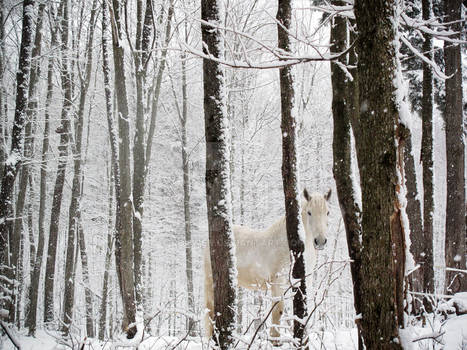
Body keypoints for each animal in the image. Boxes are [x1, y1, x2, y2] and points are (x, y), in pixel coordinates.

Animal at [205, 189, 332, 342]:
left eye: (327, 212)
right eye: (309, 212)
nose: (320, 241)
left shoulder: (304, 280)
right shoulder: (278, 281)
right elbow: (278, 310)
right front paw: (275, 340)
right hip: (210, 283)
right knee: (210, 312)